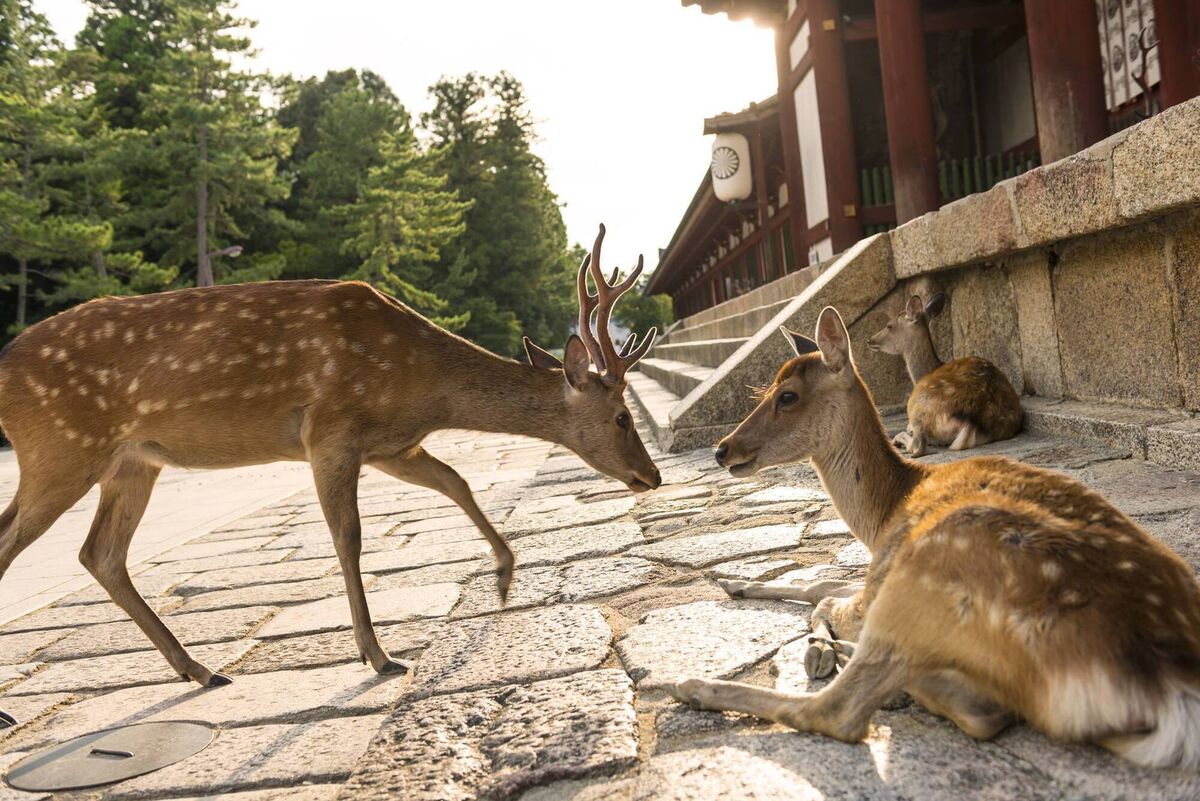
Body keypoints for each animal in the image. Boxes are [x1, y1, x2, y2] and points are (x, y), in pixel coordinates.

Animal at [0, 224, 661, 728]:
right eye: (622, 416)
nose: (651, 476)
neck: (423, 386)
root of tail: (4, 368)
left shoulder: (393, 444)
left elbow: (456, 481)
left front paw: (503, 577)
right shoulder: (330, 432)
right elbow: (349, 538)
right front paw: (377, 654)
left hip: (131, 461)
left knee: (99, 552)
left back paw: (200, 669)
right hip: (61, 450)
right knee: (24, 544)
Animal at [866, 292, 1022, 457]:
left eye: (889, 325)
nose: (869, 340)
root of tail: (973, 422)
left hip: (916, 404)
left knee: (918, 446)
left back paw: (898, 440)